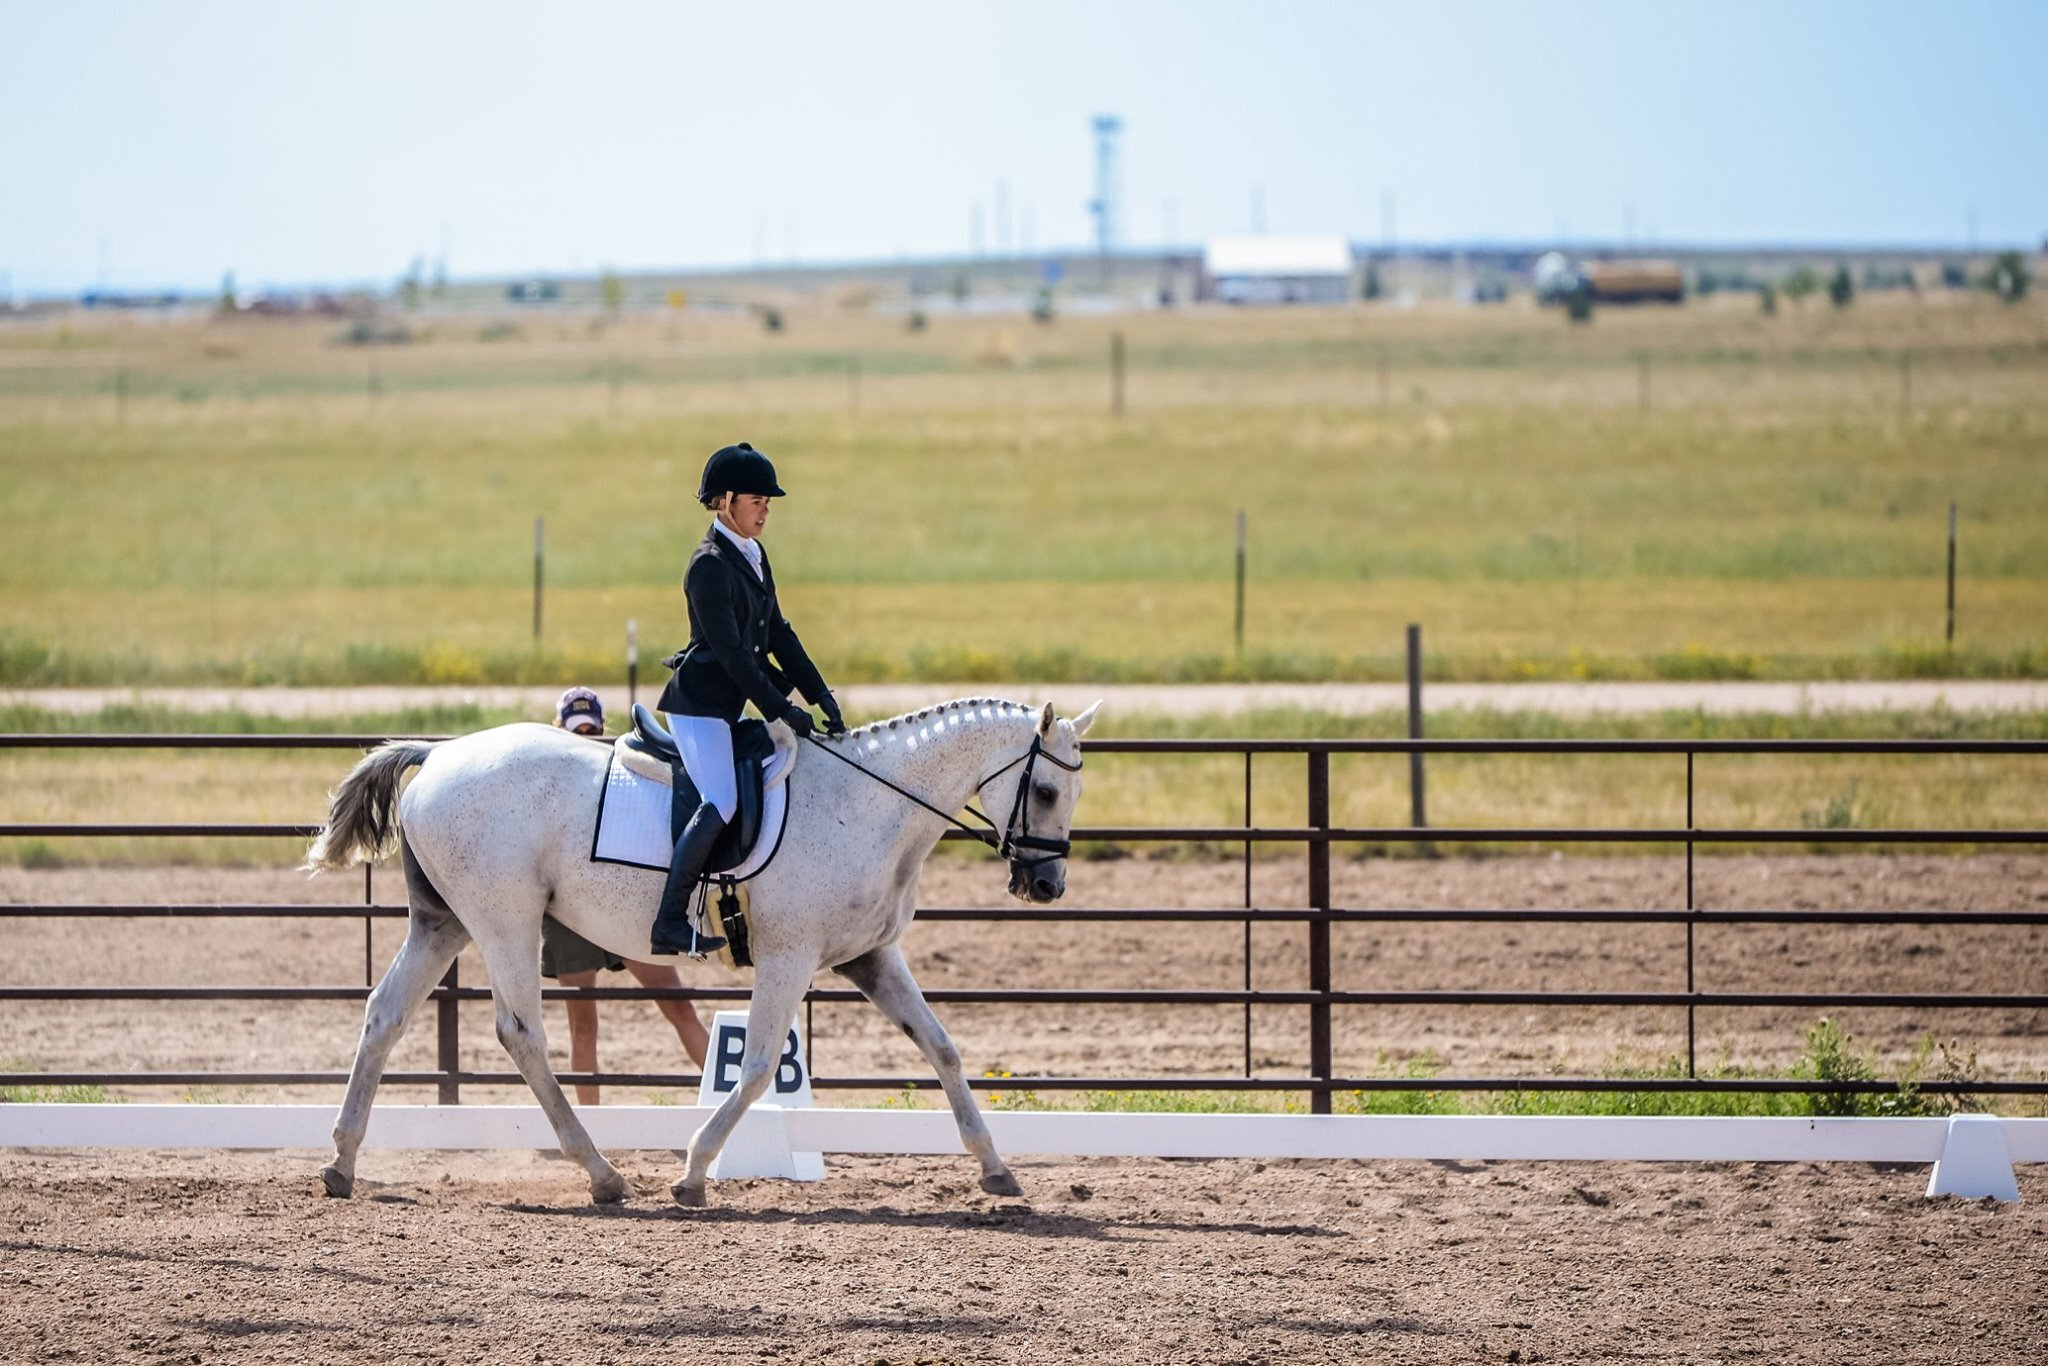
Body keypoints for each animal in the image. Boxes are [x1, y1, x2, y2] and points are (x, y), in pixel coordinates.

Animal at [301, 696, 1097, 1204]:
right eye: (1047, 791)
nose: (1046, 885)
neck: (871, 805)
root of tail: (438, 756)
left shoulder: (869, 958)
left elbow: (943, 1048)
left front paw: (996, 1170)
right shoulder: (789, 958)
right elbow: (757, 1065)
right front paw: (692, 1174)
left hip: (444, 923)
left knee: (384, 1014)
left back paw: (342, 1161)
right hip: (504, 920)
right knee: (519, 1033)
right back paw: (602, 1175)